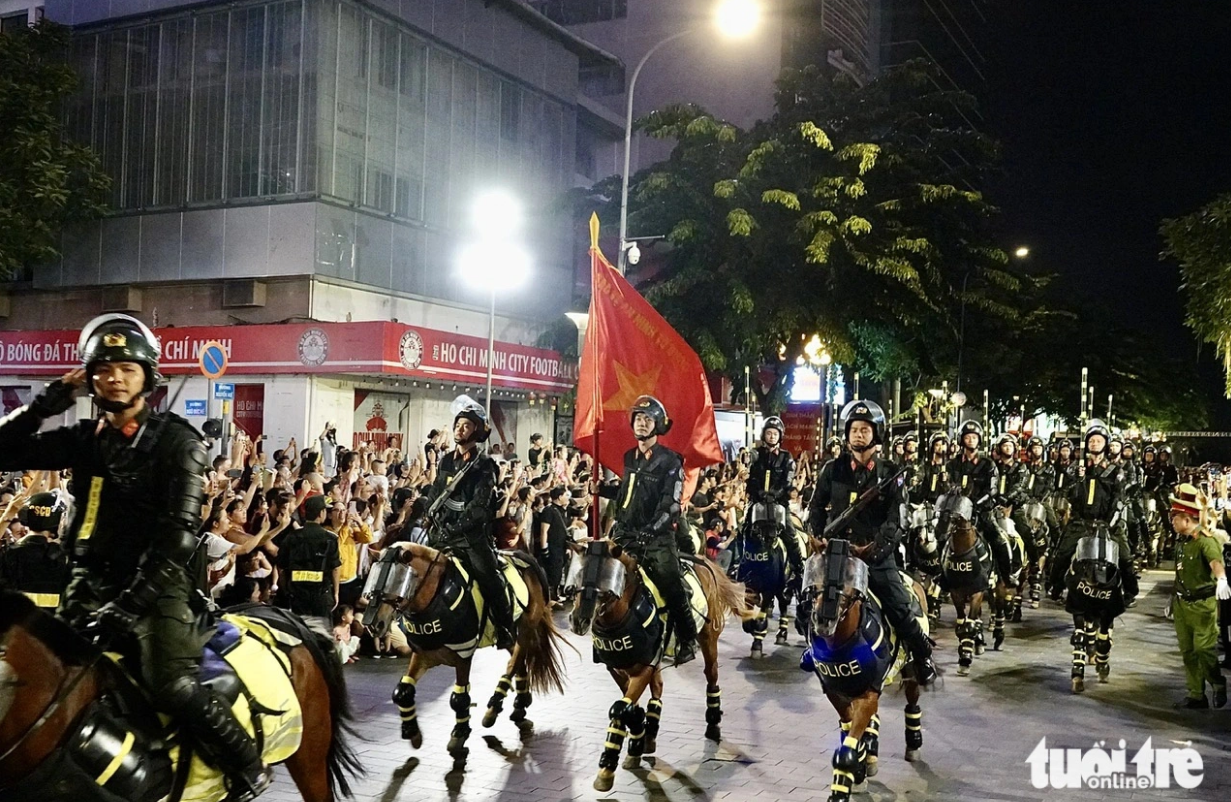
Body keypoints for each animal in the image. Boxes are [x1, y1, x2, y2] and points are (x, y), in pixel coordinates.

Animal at [356, 546, 566, 757]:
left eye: (395, 582)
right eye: (372, 579)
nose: (372, 624)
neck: (435, 597)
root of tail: (525, 556)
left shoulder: (463, 656)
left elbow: (459, 698)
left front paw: (459, 734)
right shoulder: (423, 654)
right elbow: (403, 691)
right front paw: (412, 732)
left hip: (526, 629)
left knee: (515, 661)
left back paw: (493, 709)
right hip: (511, 635)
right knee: (517, 663)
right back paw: (518, 705)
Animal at [563, 536, 753, 792]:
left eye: (606, 585)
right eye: (577, 580)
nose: (579, 620)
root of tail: (704, 561)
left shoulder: (645, 665)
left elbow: (620, 709)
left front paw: (606, 770)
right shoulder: (618, 668)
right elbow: (630, 707)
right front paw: (637, 738)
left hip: (708, 640)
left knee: (711, 676)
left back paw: (712, 724)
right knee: (658, 689)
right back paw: (650, 734)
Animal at [802, 538, 925, 801]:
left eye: (851, 579)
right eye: (815, 575)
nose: (824, 619)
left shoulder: (868, 694)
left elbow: (846, 751)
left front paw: (842, 789)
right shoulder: (835, 692)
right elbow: (849, 733)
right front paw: (857, 772)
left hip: (909, 669)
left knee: (912, 699)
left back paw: (913, 742)